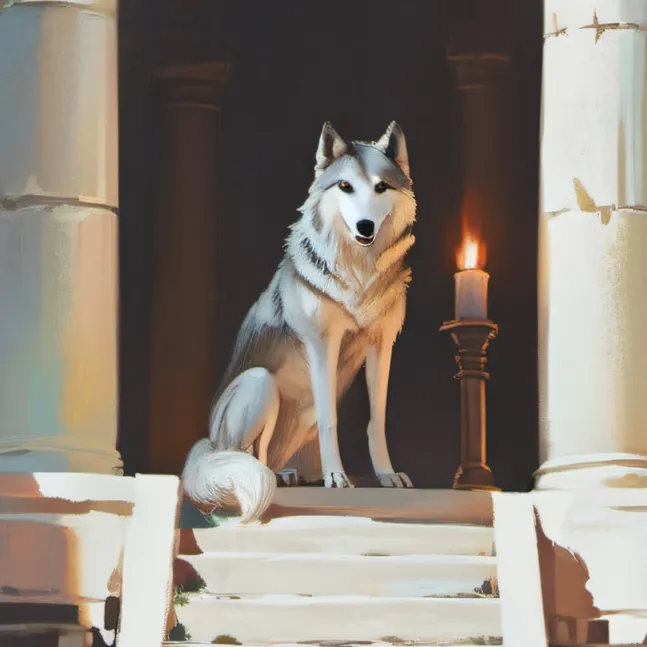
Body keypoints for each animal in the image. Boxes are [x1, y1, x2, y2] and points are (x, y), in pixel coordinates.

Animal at [182, 121, 417, 522]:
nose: (365, 226)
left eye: (381, 187)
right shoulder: (322, 345)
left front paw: (387, 475)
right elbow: (330, 421)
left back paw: (289, 474)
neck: (359, 274)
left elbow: (377, 419)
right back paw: (274, 477)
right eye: (345, 186)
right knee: (248, 455)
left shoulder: (382, 344)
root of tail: (209, 441)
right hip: (260, 384)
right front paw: (336, 477)